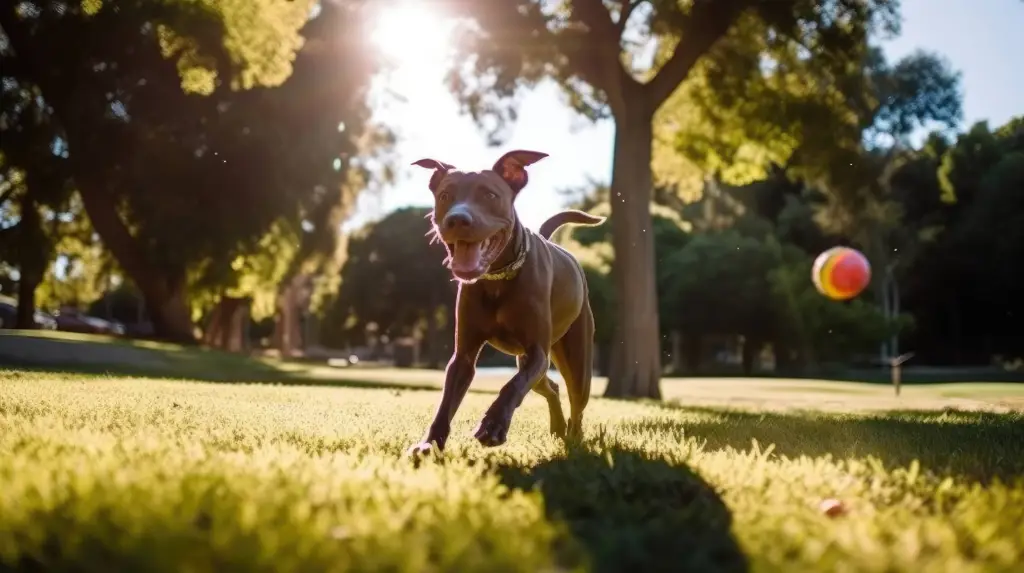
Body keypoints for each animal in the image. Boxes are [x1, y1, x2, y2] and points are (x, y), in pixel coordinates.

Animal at [403, 148, 602, 456]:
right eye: (446, 195)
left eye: (490, 194)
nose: (457, 220)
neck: (498, 277)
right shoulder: (464, 355)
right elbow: (447, 401)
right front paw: (429, 444)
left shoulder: (537, 352)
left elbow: (512, 385)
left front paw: (493, 425)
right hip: (531, 363)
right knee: (550, 388)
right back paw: (558, 428)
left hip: (576, 359)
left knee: (576, 399)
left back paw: (574, 437)